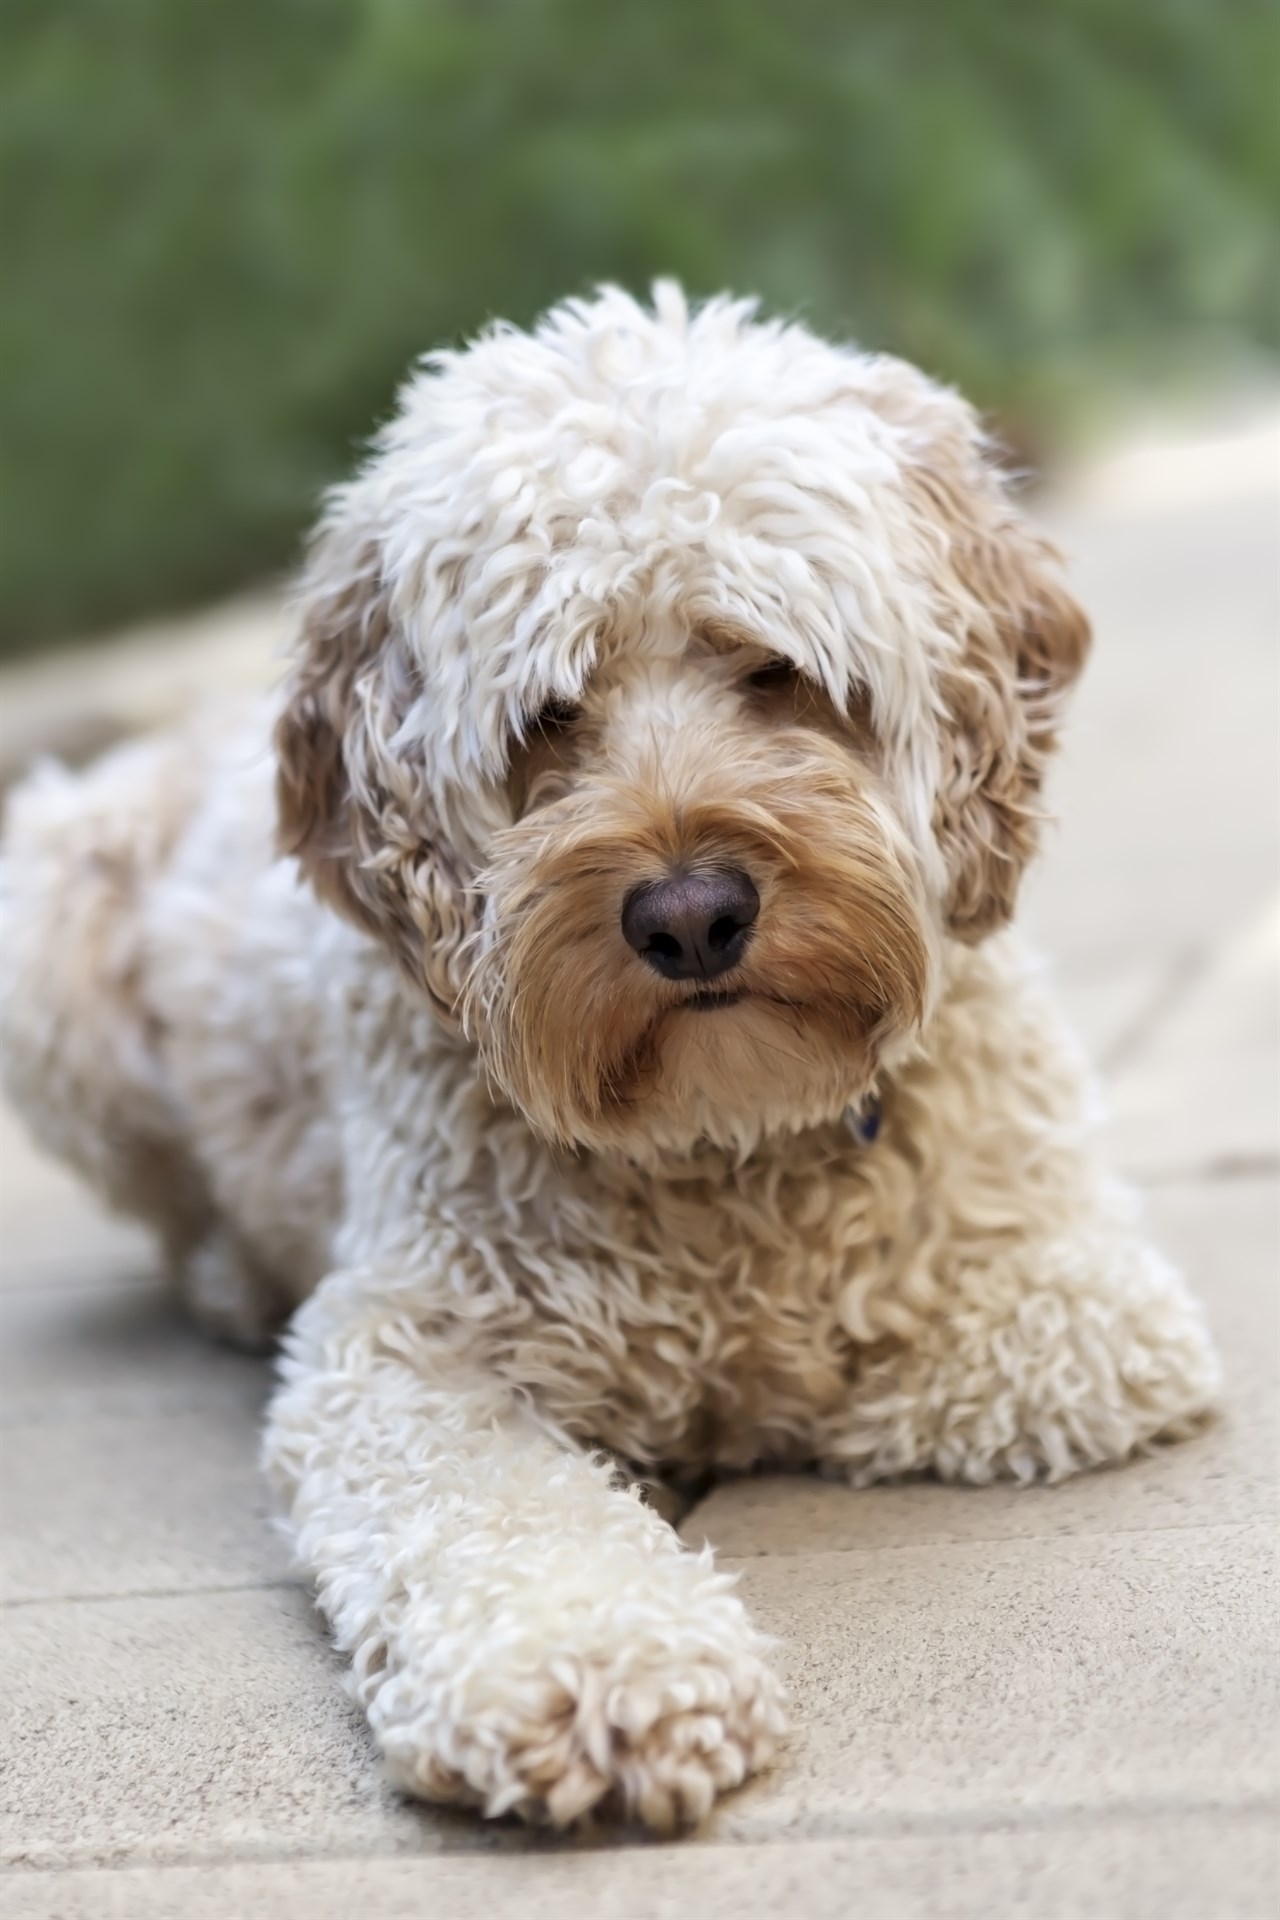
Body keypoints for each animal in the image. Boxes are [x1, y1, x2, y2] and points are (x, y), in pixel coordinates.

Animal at [0, 284, 1220, 1827]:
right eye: (547, 717)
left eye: (775, 669)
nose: (690, 915)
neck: (722, 1150)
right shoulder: (400, 1358)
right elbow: (500, 1508)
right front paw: (599, 1673)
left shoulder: (1084, 1310)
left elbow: (868, 1380)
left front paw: (745, 1402)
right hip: (46, 936)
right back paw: (230, 1276)